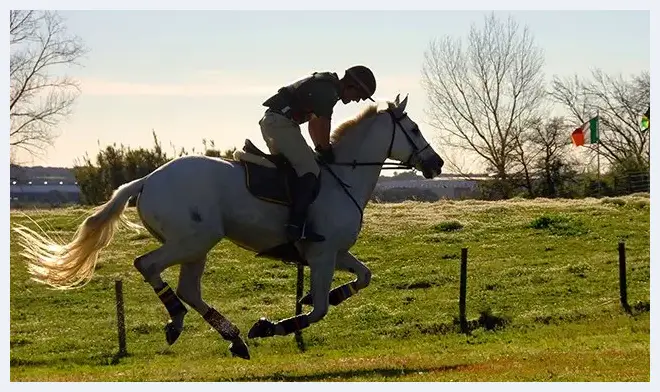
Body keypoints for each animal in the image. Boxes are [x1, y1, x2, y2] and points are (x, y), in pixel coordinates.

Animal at [14, 93, 444, 360]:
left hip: (197, 247)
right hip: (193, 241)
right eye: (415, 129)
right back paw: (181, 322)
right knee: (148, 266)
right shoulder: (321, 254)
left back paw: (233, 339)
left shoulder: (335, 252)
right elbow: (319, 309)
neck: (344, 178)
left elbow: (363, 277)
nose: (436, 164)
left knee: (188, 288)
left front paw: (314, 300)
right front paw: (270, 326)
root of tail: (147, 180)